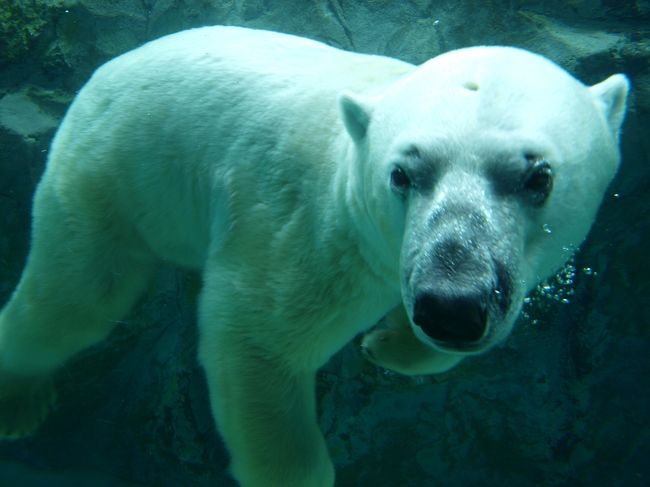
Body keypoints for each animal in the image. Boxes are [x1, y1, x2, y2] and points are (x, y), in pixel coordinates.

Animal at [1, 25, 628, 487]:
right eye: (402, 174)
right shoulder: (305, 235)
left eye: (539, 177)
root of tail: (104, 72)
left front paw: (390, 344)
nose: (450, 305)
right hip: (114, 171)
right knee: (76, 300)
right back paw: (22, 397)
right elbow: (256, 342)